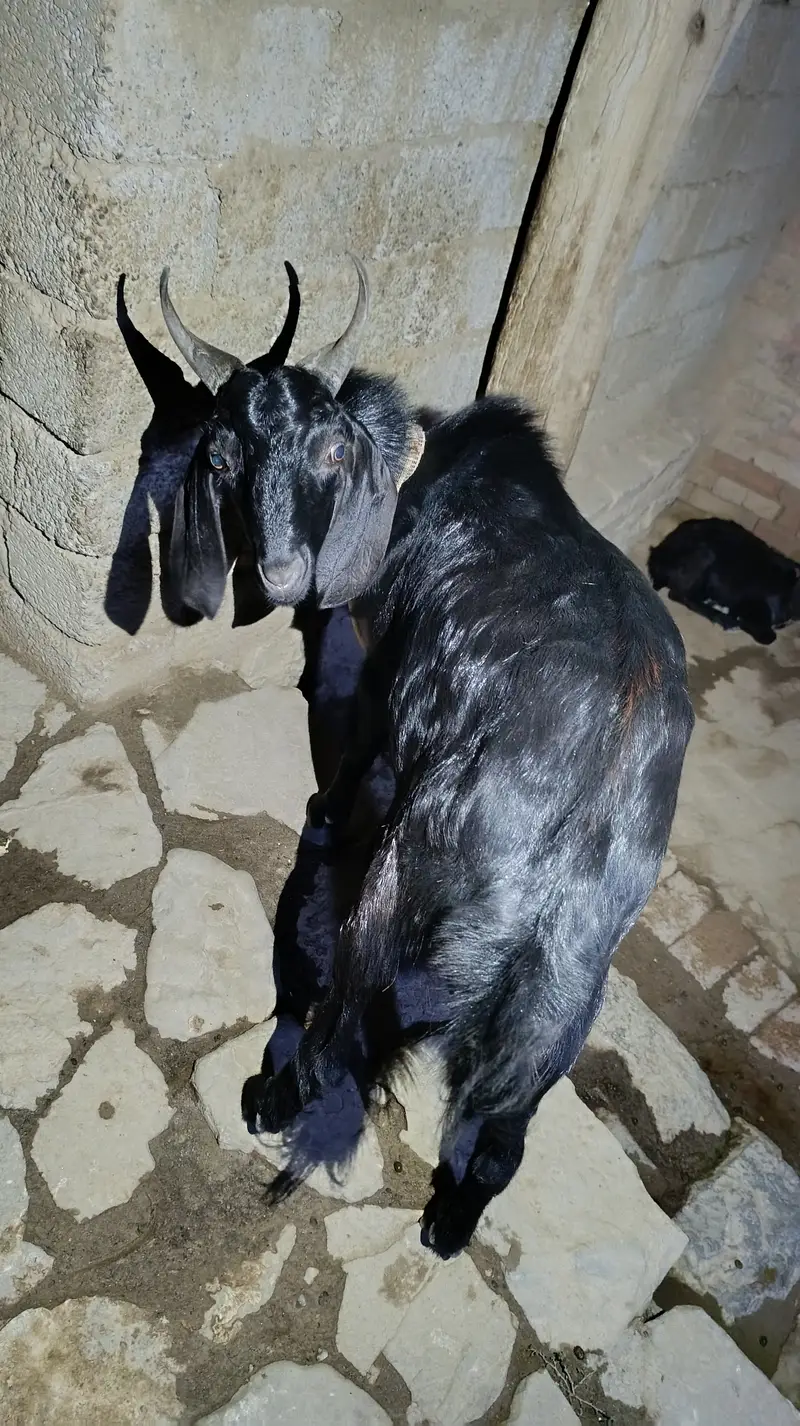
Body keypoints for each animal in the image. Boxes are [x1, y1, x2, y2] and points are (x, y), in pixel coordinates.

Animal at [154, 257, 694, 1257]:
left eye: (328, 456)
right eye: (227, 457)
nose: (282, 575)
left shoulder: (385, 674)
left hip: (397, 889)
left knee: (339, 1033)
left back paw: (268, 1099)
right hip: (571, 989)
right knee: (504, 1130)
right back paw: (446, 1227)